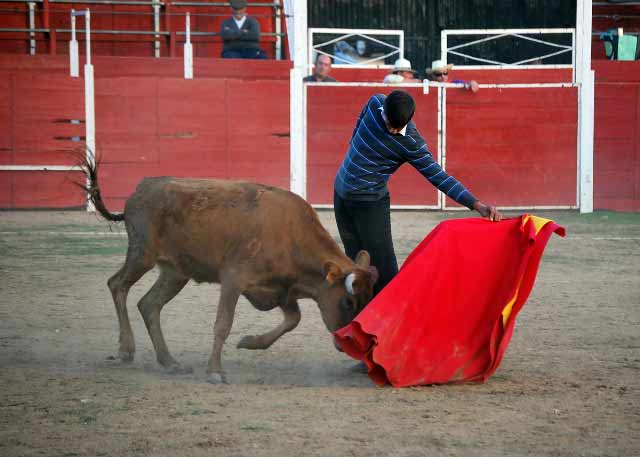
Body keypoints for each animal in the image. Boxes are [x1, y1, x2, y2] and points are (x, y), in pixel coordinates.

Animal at [79, 157, 376, 382]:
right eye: (348, 302)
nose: (346, 344)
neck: (291, 235)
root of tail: (142, 187)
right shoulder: (234, 280)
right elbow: (223, 323)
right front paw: (215, 372)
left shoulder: (281, 290)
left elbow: (293, 320)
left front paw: (249, 342)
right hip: (142, 255)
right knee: (118, 285)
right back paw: (126, 350)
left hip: (175, 272)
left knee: (149, 304)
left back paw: (170, 362)